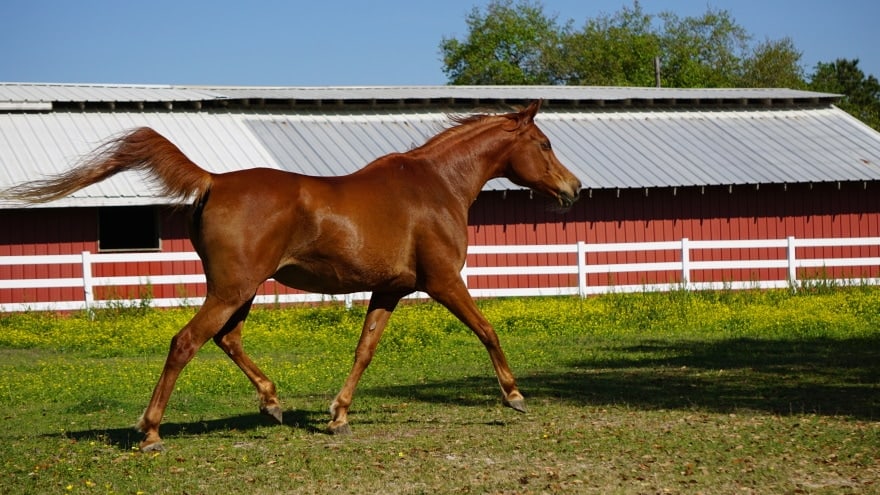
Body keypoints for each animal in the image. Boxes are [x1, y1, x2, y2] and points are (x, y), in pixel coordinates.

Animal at [2, 100, 581, 452]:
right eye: (545, 145)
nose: (573, 189)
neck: (436, 186)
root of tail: (213, 182)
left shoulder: (389, 290)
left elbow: (364, 350)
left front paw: (338, 416)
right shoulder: (442, 283)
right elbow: (487, 330)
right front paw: (514, 395)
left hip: (241, 290)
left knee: (227, 339)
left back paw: (272, 403)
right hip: (232, 288)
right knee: (186, 341)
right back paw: (150, 432)